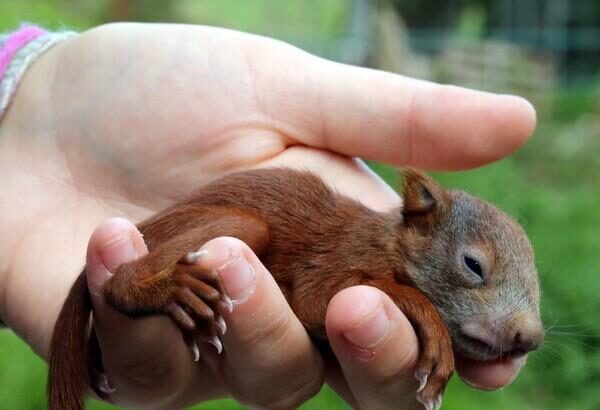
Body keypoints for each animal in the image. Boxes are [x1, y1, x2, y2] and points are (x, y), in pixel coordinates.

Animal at [47, 167, 544, 410]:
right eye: (473, 265)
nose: (531, 337)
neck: (387, 243)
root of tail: (144, 225)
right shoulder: (337, 262)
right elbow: (329, 299)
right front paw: (436, 339)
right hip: (229, 227)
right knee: (117, 284)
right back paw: (172, 291)